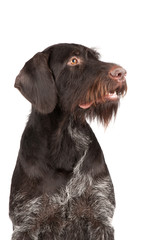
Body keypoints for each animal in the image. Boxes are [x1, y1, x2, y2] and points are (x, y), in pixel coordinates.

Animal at [9, 43, 126, 240]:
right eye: (73, 60)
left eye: (96, 57)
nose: (121, 73)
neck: (65, 139)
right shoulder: (26, 222)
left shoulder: (100, 216)